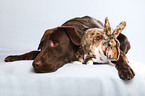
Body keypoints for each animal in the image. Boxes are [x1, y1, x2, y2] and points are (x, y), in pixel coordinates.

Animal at [4, 16, 134, 80]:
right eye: (41, 47)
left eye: (55, 43)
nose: (35, 65)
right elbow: (31, 52)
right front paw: (13, 57)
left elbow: (121, 57)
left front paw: (125, 70)